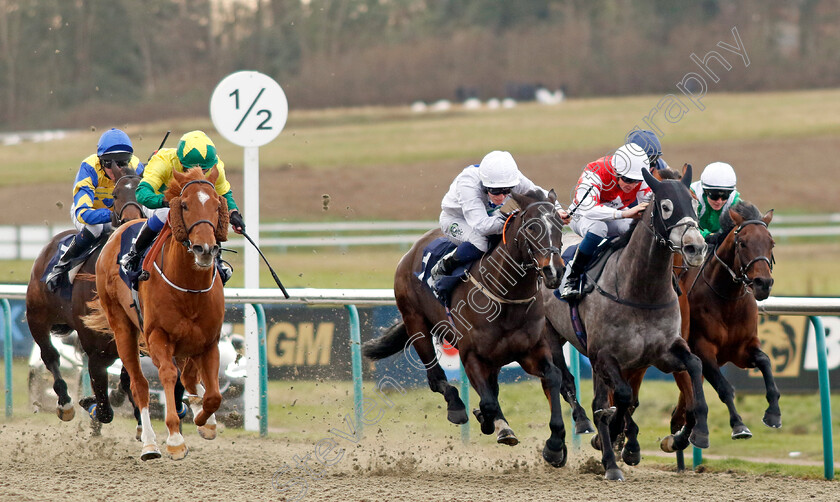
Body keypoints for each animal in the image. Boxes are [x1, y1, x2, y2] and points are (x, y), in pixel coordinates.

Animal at [25, 171, 144, 426]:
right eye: (115, 195)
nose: (130, 221)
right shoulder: (97, 353)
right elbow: (105, 410)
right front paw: (91, 404)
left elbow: (126, 380)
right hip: (36, 317)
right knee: (50, 356)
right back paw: (66, 403)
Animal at [86, 168, 228, 458]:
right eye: (184, 205)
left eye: (217, 205)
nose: (205, 249)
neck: (189, 288)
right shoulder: (157, 336)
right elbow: (167, 375)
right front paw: (175, 439)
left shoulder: (209, 341)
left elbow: (213, 395)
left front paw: (204, 421)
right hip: (122, 328)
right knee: (139, 385)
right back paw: (150, 443)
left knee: (188, 377)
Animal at [364, 190, 580, 468]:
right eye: (532, 227)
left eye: (558, 225)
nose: (554, 270)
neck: (506, 297)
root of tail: (412, 250)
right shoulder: (471, 356)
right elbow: (487, 401)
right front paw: (498, 425)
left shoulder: (531, 351)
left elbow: (553, 378)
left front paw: (555, 446)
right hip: (416, 322)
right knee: (436, 377)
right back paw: (457, 406)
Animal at [544, 166, 708, 482]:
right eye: (666, 206)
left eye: (695, 205)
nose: (696, 247)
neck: (640, 291)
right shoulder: (603, 355)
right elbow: (619, 397)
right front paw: (614, 435)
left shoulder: (663, 351)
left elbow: (694, 366)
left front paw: (699, 431)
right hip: (549, 337)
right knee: (561, 381)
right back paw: (572, 446)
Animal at [660, 200, 776, 452]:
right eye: (742, 243)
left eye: (771, 242)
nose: (763, 283)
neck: (727, 299)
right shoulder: (703, 349)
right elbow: (724, 388)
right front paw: (739, 426)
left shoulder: (742, 350)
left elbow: (765, 361)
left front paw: (774, 412)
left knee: (685, 406)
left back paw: (679, 434)